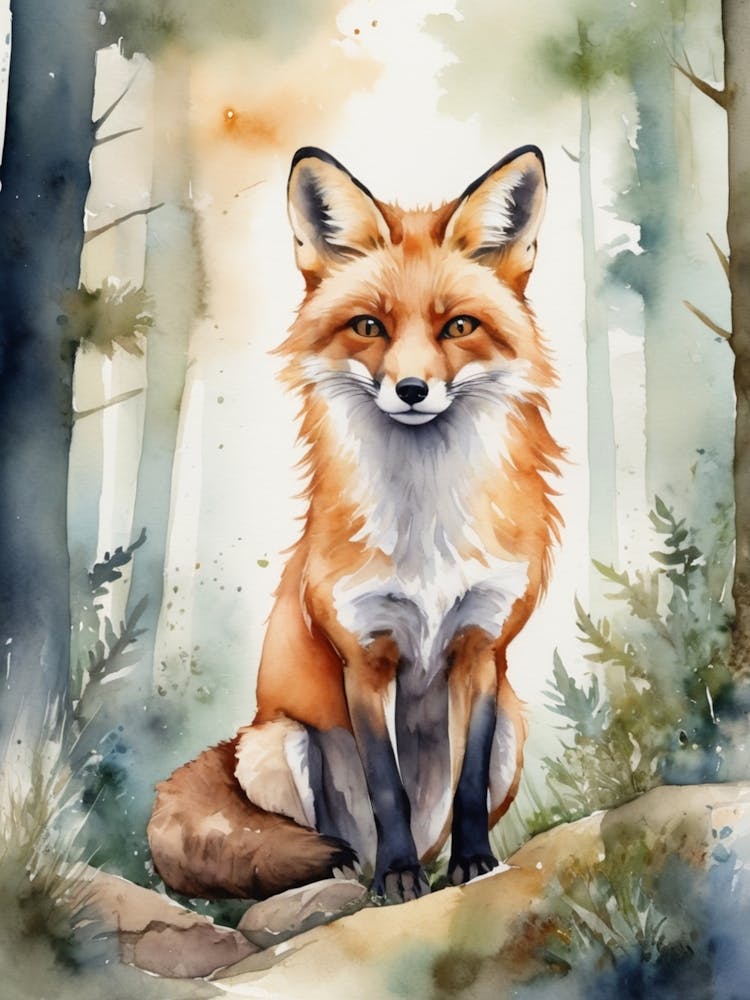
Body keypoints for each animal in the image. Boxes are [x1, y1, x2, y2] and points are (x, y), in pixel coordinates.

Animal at [147, 144, 562, 903]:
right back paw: (359, 873)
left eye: (459, 326)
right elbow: (384, 784)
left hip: (515, 730)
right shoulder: (363, 655)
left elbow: (464, 785)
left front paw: (473, 865)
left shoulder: (482, 647)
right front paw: (400, 881)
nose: (412, 391)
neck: (427, 528)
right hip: (274, 743)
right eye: (370, 326)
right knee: (322, 844)